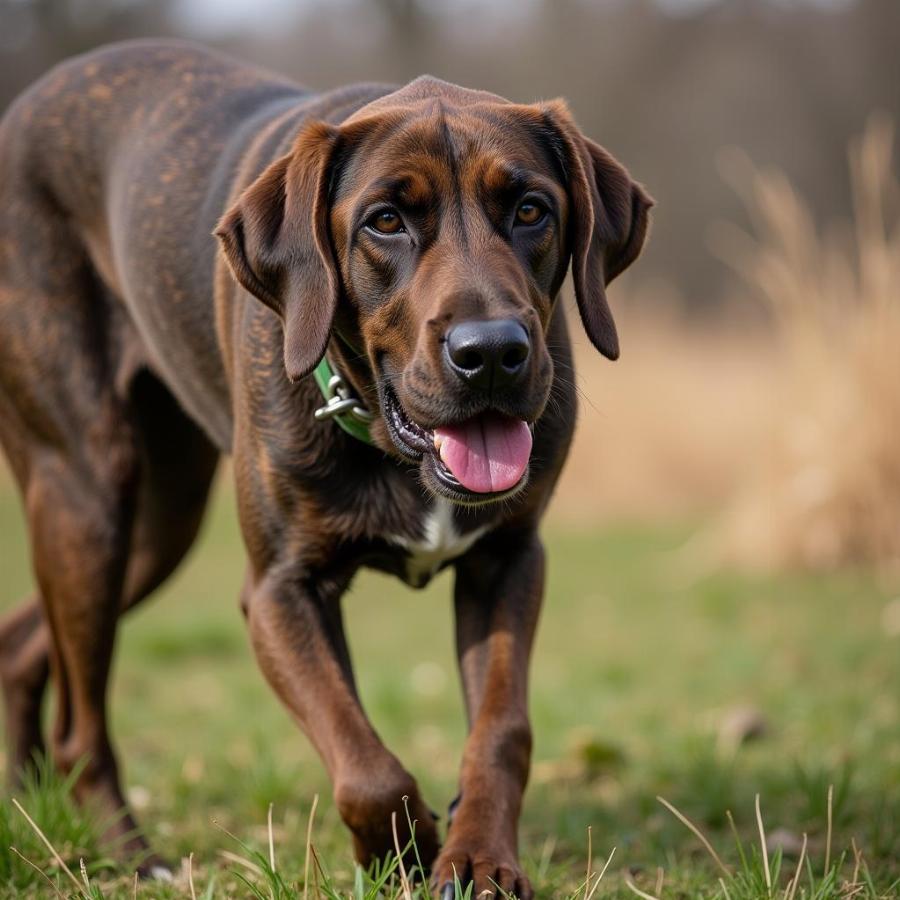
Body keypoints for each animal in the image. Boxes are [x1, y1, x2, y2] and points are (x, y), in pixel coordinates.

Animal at [0, 38, 652, 896]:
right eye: (386, 221)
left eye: (531, 210)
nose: (490, 353)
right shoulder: (282, 590)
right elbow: (364, 764)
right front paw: (402, 850)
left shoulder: (509, 559)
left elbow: (501, 730)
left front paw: (478, 855)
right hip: (86, 492)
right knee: (82, 724)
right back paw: (134, 858)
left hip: (156, 524)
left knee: (21, 643)